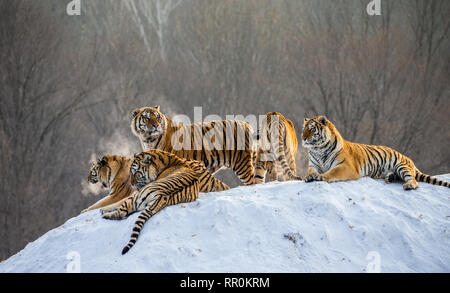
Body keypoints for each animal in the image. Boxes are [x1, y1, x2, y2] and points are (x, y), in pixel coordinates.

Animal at [100, 148, 230, 253]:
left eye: (136, 173)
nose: (131, 184)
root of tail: (161, 196)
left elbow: (118, 202)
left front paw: (103, 209)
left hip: (136, 197)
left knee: (121, 212)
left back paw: (105, 214)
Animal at [300, 115, 450, 190]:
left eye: (311, 129)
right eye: (303, 129)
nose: (303, 138)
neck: (319, 150)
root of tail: (409, 159)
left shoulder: (346, 166)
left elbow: (332, 173)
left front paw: (320, 177)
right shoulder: (313, 165)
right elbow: (311, 172)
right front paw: (309, 177)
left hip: (402, 166)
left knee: (413, 180)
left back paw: (409, 185)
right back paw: (390, 177)